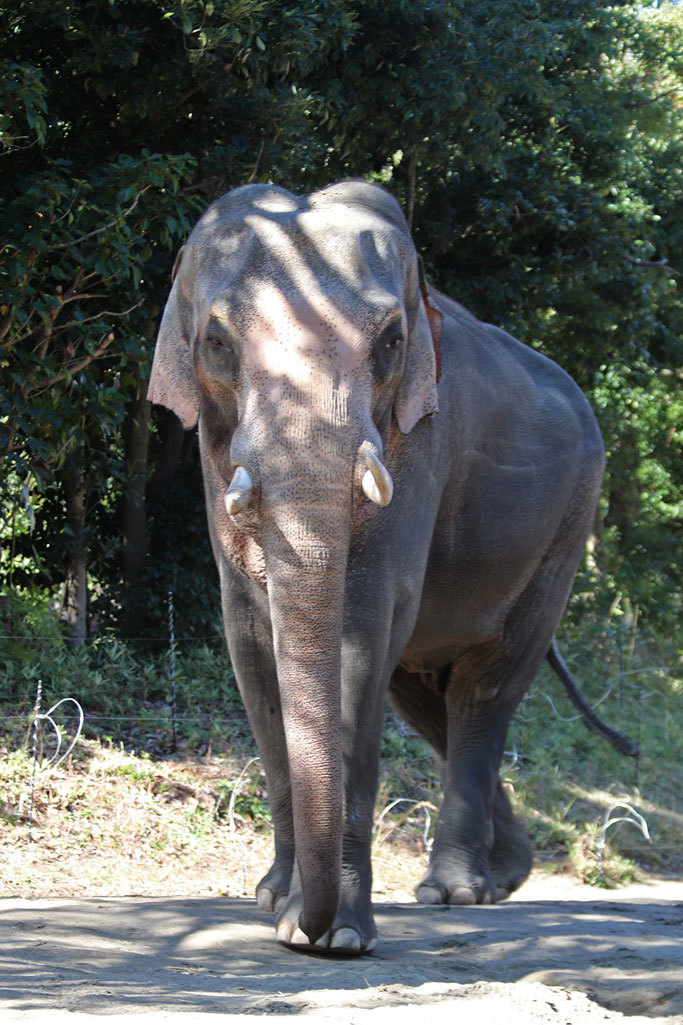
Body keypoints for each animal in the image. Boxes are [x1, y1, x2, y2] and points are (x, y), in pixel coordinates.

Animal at [147, 180, 631, 955]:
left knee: (482, 690)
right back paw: (506, 873)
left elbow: (361, 626)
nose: (303, 923)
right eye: (216, 342)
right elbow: (250, 640)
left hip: (567, 523)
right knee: (427, 698)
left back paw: (456, 891)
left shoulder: (421, 442)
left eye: (391, 342)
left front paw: (336, 935)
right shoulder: (211, 459)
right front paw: (273, 902)